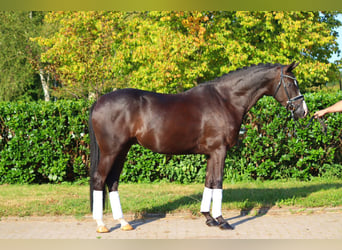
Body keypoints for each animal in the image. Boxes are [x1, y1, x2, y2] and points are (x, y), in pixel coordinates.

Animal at [87, 62, 308, 232]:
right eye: (291, 82)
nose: (303, 111)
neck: (226, 100)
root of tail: (98, 101)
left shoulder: (211, 153)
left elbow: (208, 182)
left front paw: (208, 218)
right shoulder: (219, 150)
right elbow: (217, 182)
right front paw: (222, 221)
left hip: (122, 151)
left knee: (112, 182)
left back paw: (123, 222)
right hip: (111, 151)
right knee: (99, 180)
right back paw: (101, 224)